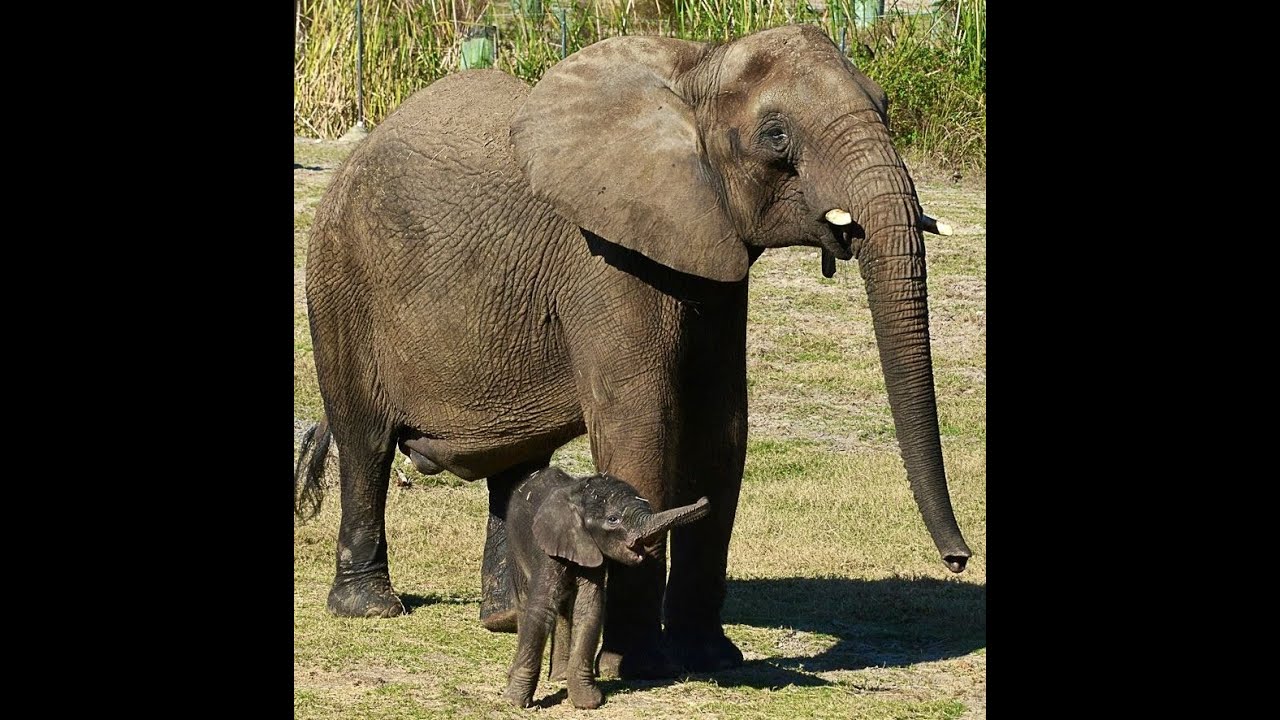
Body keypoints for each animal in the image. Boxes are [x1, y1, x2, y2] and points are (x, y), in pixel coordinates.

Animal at [293, 23, 973, 679]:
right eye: (776, 136)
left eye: (884, 105)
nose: (959, 559)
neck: (696, 68)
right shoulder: (604, 257)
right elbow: (643, 419)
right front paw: (639, 665)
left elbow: (720, 428)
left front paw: (713, 660)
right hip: (338, 281)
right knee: (366, 443)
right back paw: (371, 607)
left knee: (514, 462)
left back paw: (506, 619)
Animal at [502, 467, 710, 709]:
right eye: (613, 519)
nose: (704, 498)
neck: (578, 496)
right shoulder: (547, 548)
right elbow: (540, 608)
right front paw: (515, 702)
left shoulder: (591, 550)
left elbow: (588, 607)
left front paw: (587, 702)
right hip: (514, 544)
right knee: (524, 603)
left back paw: (560, 677)